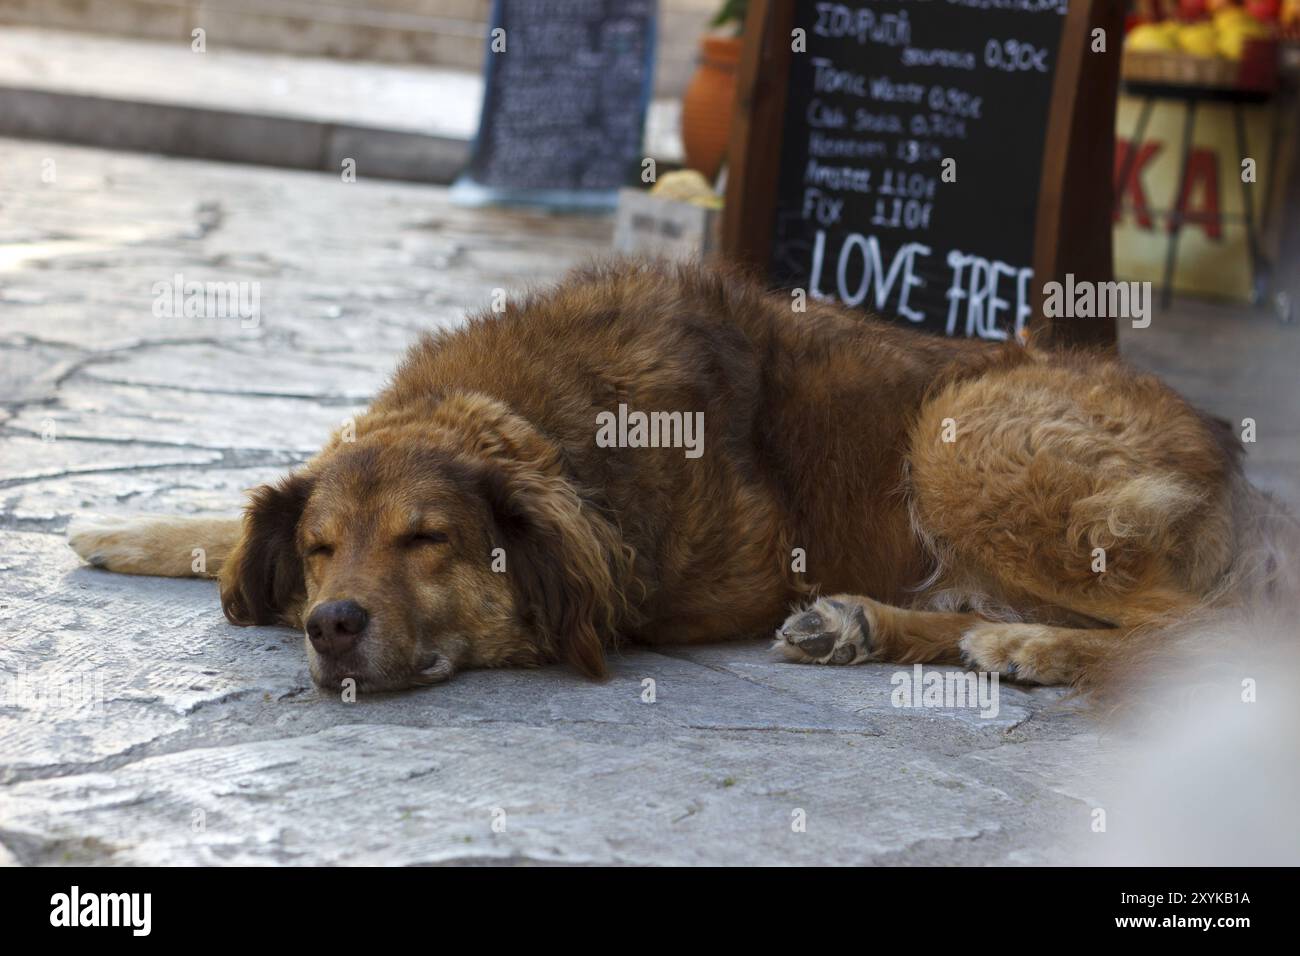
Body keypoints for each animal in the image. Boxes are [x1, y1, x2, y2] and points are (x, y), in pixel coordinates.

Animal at [63, 261, 1300, 697]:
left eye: (429, 538)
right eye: (320, 549)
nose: (329, 623)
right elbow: (236, 518)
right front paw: (119, 523)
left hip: (963, 436)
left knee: (1206, 627)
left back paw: (1031, 645)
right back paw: (864, 624)